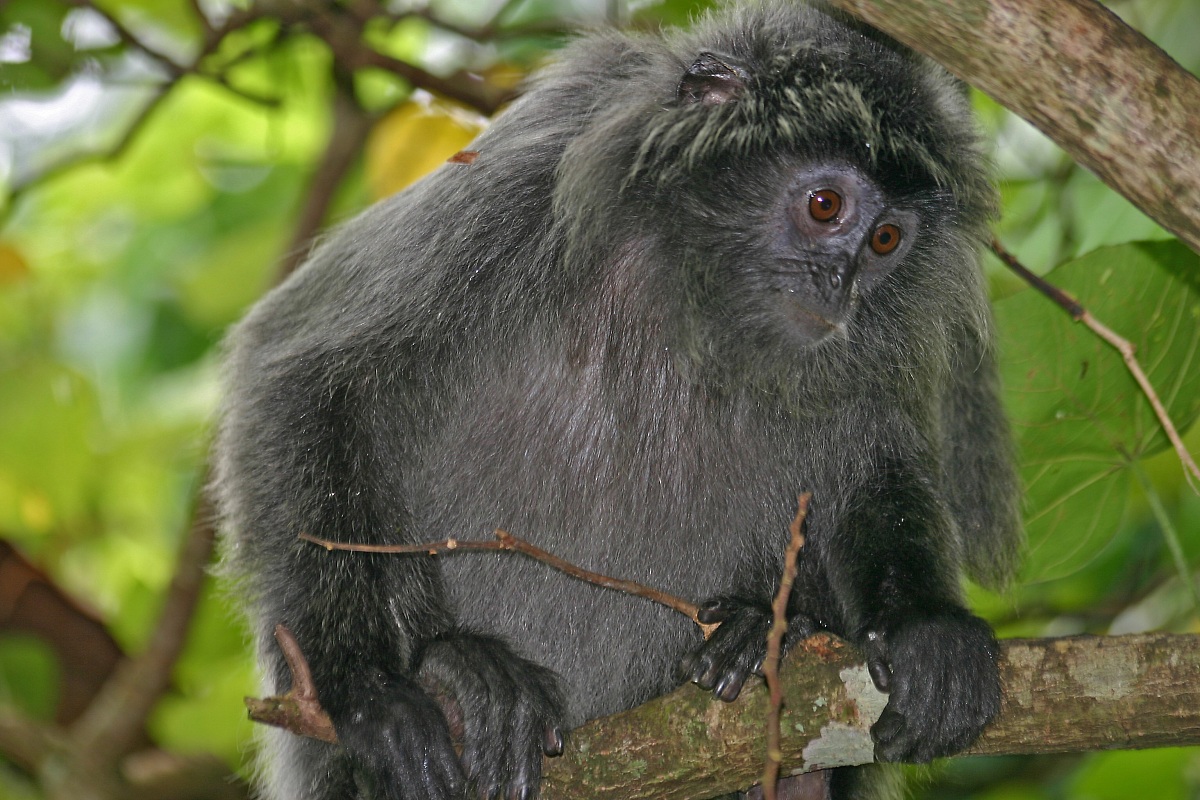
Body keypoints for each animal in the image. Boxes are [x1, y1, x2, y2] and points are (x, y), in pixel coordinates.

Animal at [214, 2, 1022, 799]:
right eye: (826, 205)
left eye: (886, 240)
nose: (840, 286)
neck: (684, 287)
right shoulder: (523, 183)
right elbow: (299, 371)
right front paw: (368, 690)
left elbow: (869, 476)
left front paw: (926, 627)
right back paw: (461, 676)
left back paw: (772, 644)